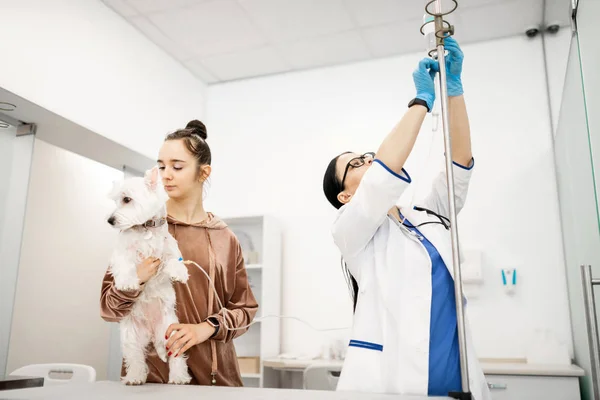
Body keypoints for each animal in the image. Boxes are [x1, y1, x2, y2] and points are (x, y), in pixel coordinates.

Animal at [106, 166, 192, 384]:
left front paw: (180, 273)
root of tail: (153, 333)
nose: (110, 220)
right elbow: (125, 265)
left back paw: (178, 377)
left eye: (127, 199)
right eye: (116, 200)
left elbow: (174, 260)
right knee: (135, 358)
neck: (146, 228)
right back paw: (134, 377)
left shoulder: (168, 250)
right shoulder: (122, 252)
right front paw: (128, 283)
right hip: (131, 336)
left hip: (171, 332)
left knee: (176, 356)